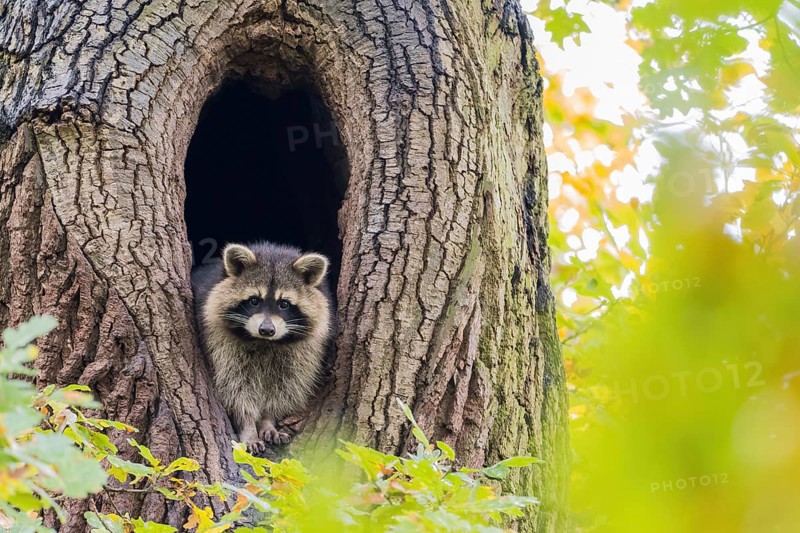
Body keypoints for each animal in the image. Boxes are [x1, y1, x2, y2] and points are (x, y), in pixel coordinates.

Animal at [192, 242, 333, 452]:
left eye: (284, 304)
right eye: (254, 300)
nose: (266, 330)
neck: (264, 343)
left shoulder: (301, 354)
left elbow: (284, 387)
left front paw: (268, 420)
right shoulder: (221, 346)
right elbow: (235, 390)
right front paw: (248, 426)